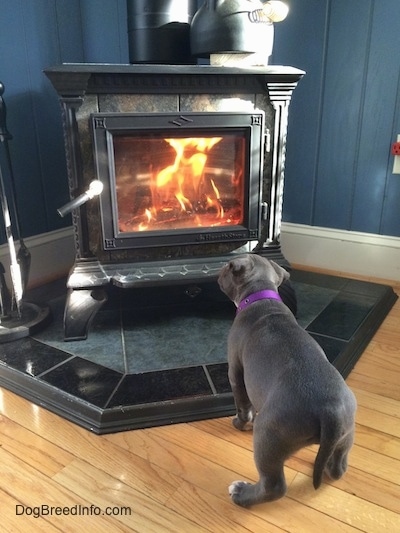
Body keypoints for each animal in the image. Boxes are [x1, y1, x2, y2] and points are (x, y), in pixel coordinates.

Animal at [217, 254, 358, 508]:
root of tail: (329, 411)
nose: (218, 270)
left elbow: (243, 405)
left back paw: (241, 493)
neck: (260, 297)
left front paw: (239, 423)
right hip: (346, 432)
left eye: (227, 267)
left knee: (273, 486)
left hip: (267, 436)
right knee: (338, 466)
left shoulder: (235, 371)